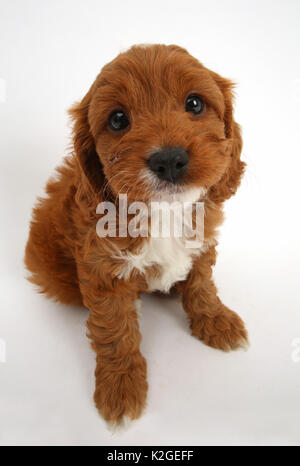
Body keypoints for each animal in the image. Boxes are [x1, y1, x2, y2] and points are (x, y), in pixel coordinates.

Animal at [25, 44, 246, 426]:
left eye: (194, 103)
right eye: (117, 120)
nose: (169, 160)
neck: (163, 213)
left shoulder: (202, 242)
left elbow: (202, 285)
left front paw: (216, 320)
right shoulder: (102, 270)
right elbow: (115, 331)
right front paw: (120, 388)